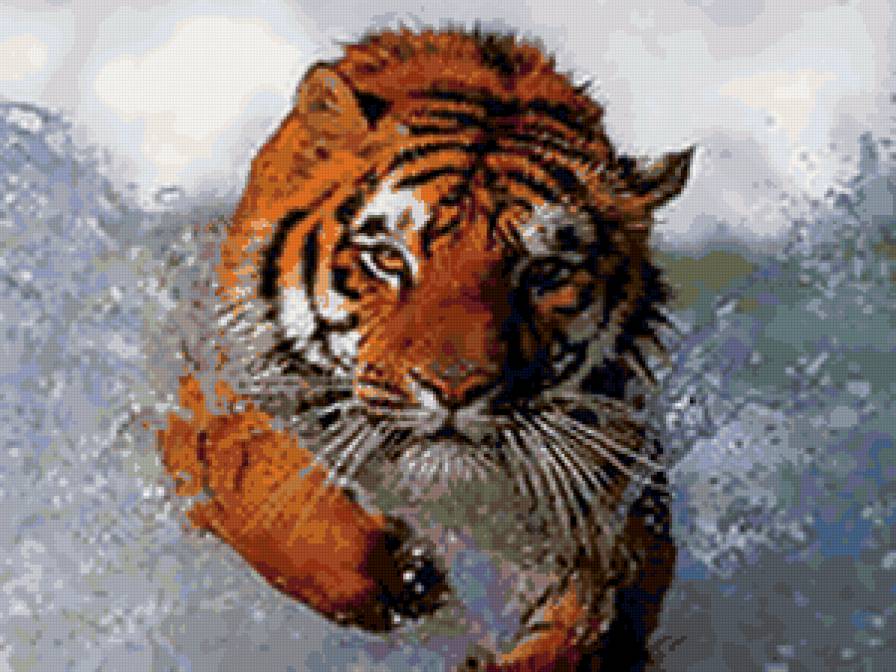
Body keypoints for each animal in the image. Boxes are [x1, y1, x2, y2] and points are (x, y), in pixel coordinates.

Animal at [157, 28, 693, 671]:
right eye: (389, 257)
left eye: (544, 273)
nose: (455, 387)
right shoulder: (213, 397)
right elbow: (269, 490)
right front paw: (398, 577)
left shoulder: (620, 499)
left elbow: (592, 619)